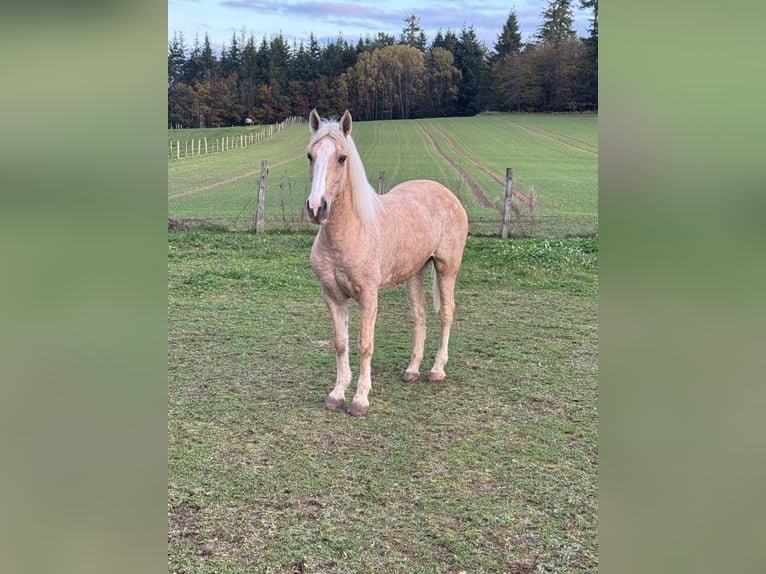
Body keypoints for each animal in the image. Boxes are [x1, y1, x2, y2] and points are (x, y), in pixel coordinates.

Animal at [306, 110, 468, 416]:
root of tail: (447, 193)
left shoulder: (368, 296)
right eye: (310, 155)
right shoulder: (332, 295)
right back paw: (412, 370)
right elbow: (340, 343)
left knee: (446, 313)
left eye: (342, 158)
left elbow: (365, 344)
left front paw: (360, 400)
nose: (316, 208)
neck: (351, 231)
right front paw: (336, 394)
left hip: (446, 268)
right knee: (420, 315)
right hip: (415, 272)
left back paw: (436, 370)